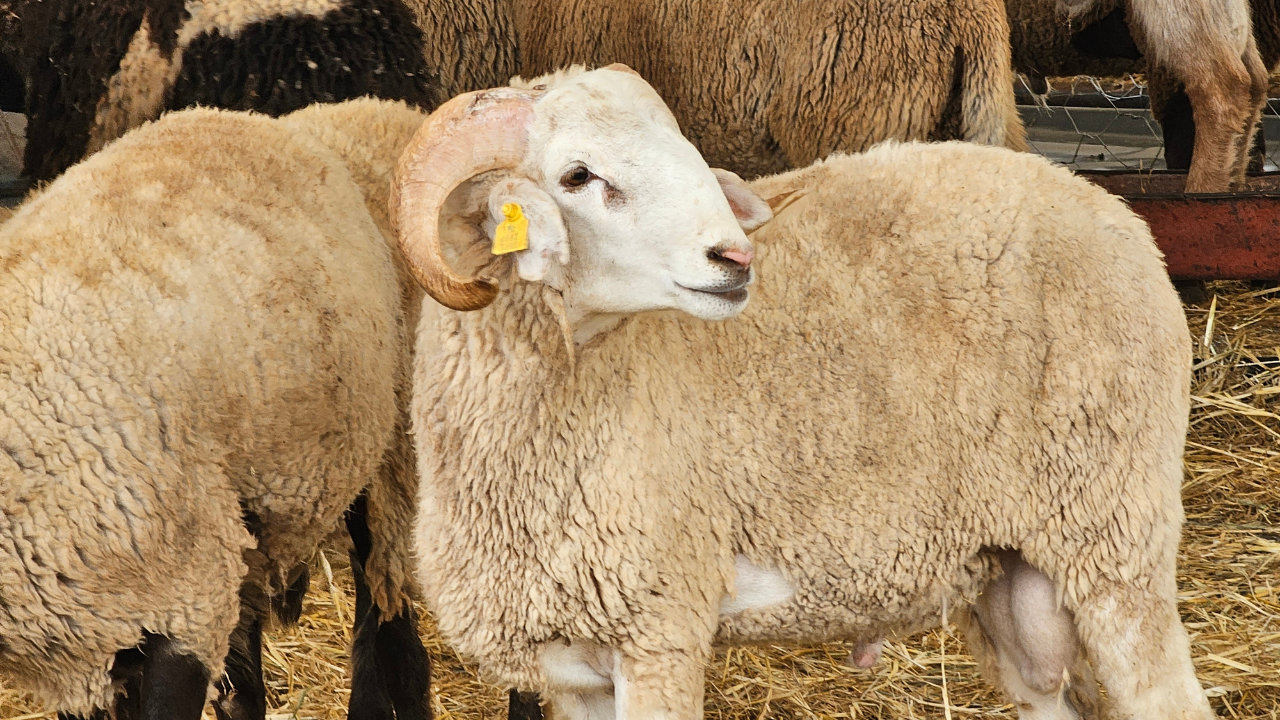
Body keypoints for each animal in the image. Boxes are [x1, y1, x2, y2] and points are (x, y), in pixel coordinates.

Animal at [392, 65, 1211, 719]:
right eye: (576, 177)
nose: (733, 256)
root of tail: (1119, 214)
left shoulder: (661, 628)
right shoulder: (571, 668)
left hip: (1115, 531)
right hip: (1014, 573)